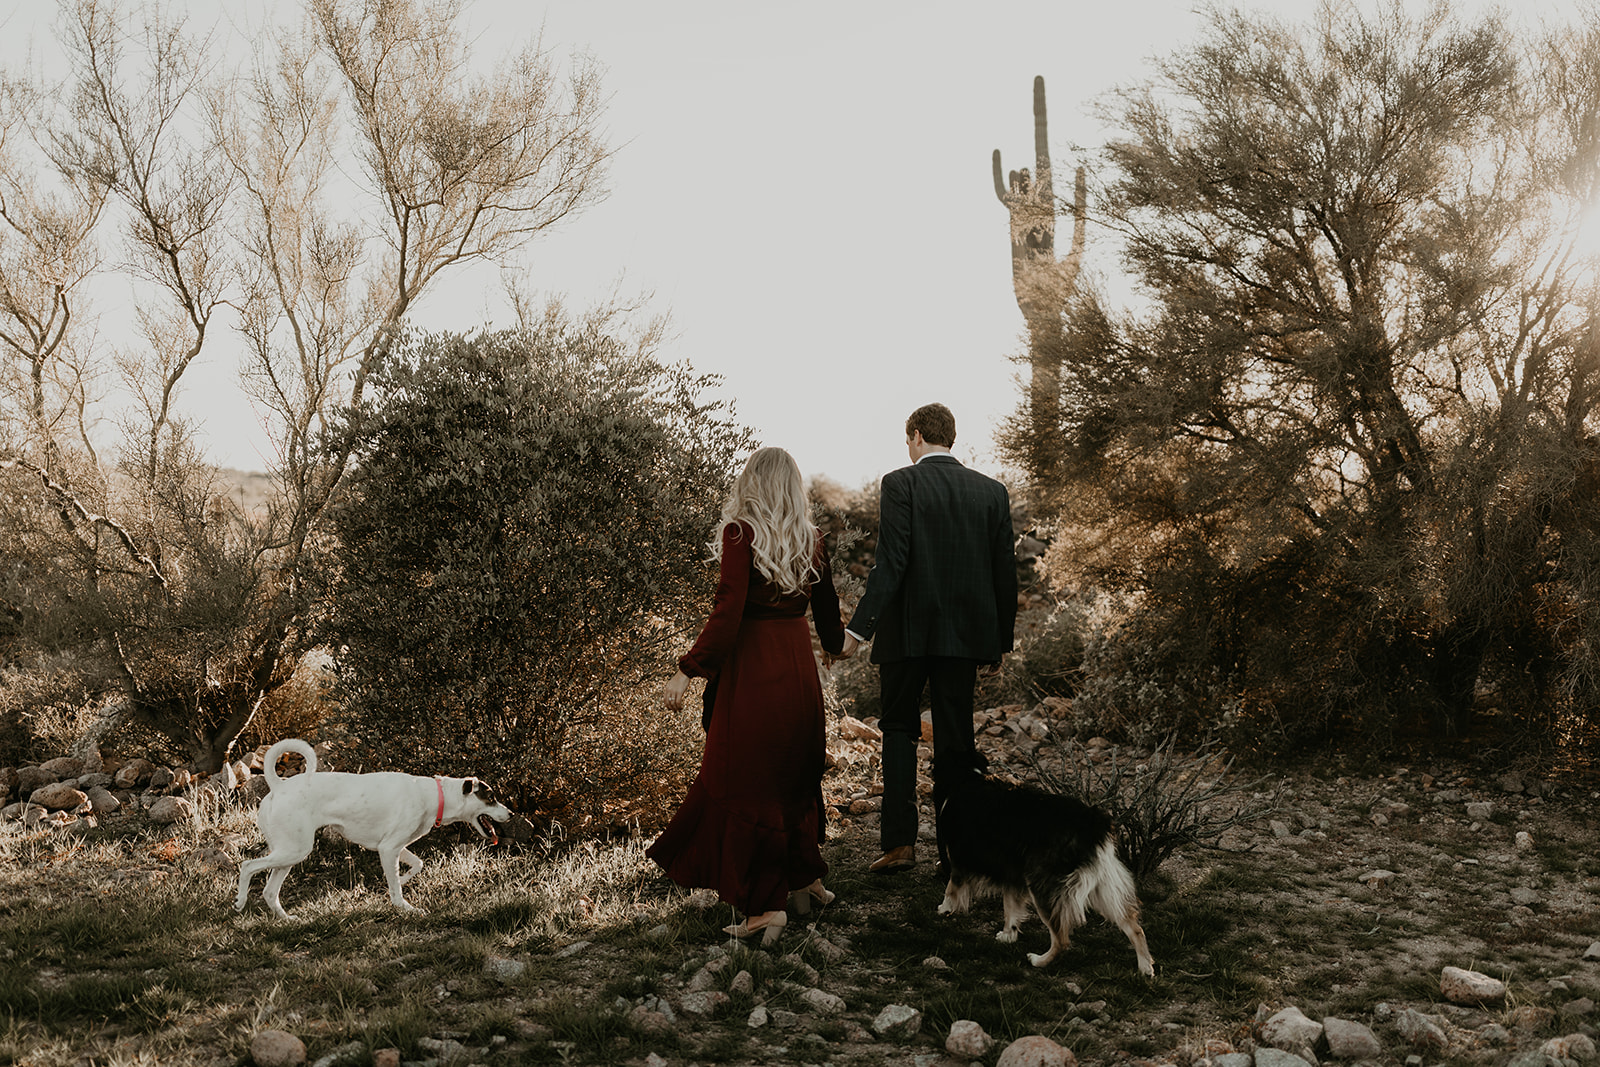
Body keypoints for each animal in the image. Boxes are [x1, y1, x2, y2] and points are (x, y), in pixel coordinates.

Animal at [235, 742, 512, 921]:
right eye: (491, 798)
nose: (510, 814)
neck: (434, 795)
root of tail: (278, 786)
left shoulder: (394, 847)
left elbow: (418, 864)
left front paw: (402, 879)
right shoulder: (388, 850)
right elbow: (397, 892)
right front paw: (406, 908)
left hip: (289, 854)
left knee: (270, 892)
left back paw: (287, 919)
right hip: (294, 850)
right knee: (248, 866)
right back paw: (240, 901)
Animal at [934, 777, 1152, 979]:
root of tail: (1094, 825)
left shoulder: (958, 860)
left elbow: (951, 889)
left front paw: (944, 909)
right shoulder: (1013, 875)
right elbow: (1010, 908)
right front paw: (1008, 935)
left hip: (1044, 887)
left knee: (1061, 940)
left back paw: (1039, 961)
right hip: (1102, 887)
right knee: (1134, 927)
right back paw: (1146, 967)